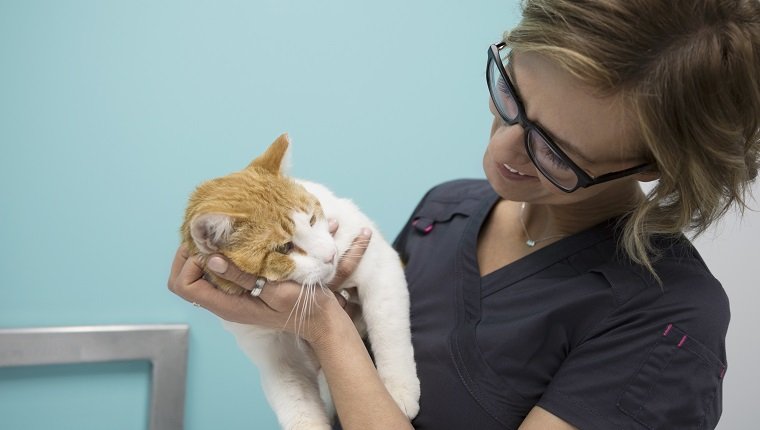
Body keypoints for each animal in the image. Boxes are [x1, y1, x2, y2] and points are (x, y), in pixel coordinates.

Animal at [182, 133, 422, 428]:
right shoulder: (272, 352)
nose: (331, 256)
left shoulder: (378, 263)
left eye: (311, 219)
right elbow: (298, 406)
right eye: (284, 248)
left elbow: (389, 331)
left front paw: (398, 390)